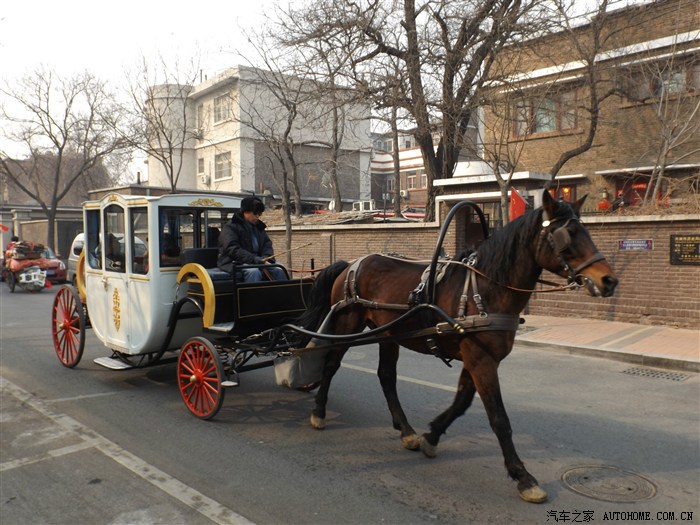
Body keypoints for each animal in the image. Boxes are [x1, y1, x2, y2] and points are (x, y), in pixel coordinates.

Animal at [298, 190, 616, 502]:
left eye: (585, 230)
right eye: (568, 235)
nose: (609, 280)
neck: (487, 289)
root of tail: (351, 264)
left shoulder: (479, 358)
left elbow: (462, 401)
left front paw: (432, 436)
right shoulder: (480, 359)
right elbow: (498, 418)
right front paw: (522, 476)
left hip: (388, 333)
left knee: (386, 376)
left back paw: (406, 431)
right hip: (347, 325)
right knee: (331, 364)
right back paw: (319, 412)